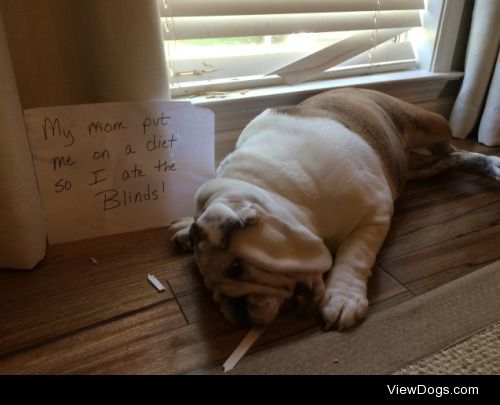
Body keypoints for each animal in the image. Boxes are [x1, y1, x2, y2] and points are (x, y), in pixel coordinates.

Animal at [169, 87, 500, 328]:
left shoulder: (374, 214)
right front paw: (186, 225)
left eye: (237, 268)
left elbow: (354, 254)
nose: (234, 310)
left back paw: (487, 161)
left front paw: (343, 298)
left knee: (450, 147)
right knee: (445, 160)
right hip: (414, 167)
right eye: (210, 290)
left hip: (428, 123)